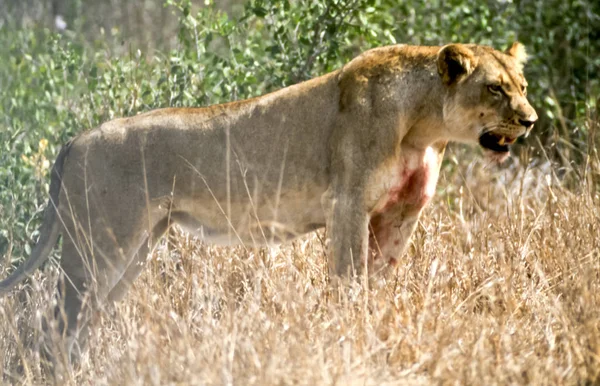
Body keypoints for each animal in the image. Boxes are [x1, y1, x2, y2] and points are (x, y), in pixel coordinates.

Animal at [0, 43, 540, 364]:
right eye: (495, 87)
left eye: (523, 87)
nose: (531, 120)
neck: (424, 125)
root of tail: (75, 140)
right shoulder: (347, 205)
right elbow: (349, 283)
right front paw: (349, 335)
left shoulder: (399, 215)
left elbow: (379, 281)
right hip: (99, 245)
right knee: (57, 322)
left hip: (133, 249)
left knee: (82, 320)